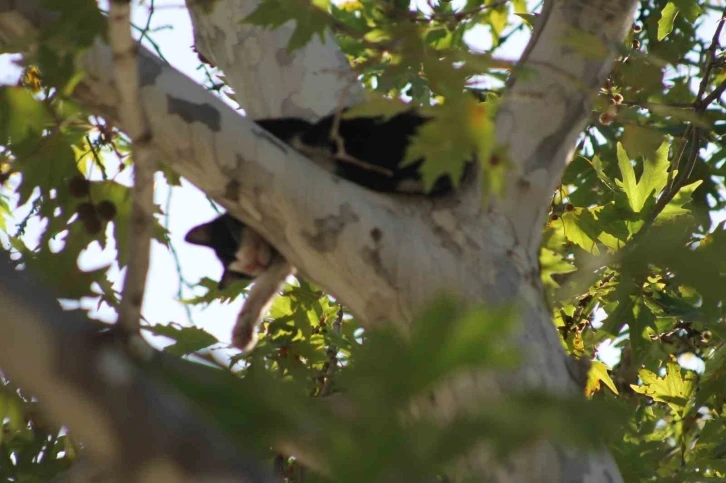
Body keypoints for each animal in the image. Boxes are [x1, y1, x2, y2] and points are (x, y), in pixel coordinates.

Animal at [185, 108, 474, 352]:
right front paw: (244, 329)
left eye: (232, 242)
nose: (252, 264)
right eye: (243, 275)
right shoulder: (285, 250)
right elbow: (267, 285)